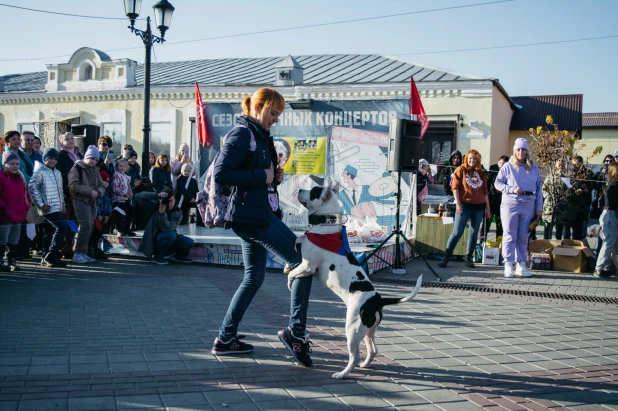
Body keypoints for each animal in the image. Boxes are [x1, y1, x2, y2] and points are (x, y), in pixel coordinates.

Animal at [288, 183, 422, 380]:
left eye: (313, 191)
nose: (298, 190)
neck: (326, 223)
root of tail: (377, 300)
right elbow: (298, 240)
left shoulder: (308, 266)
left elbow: (293, 273)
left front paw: (290, 281)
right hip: (367, 331)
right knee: (373, 350)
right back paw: (365, 364)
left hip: (352, 329)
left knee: (354, 356)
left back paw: (343, 373)